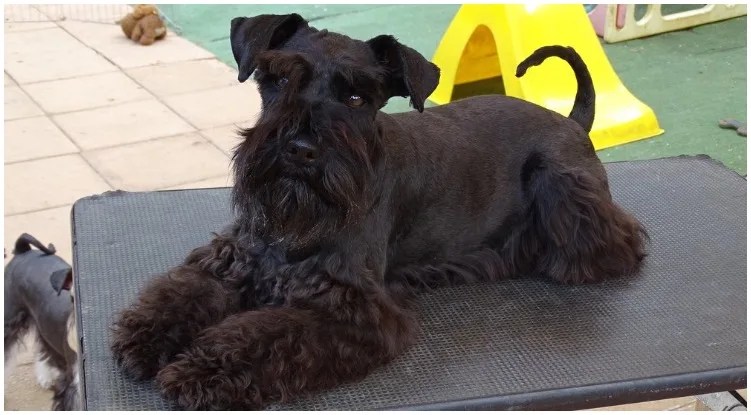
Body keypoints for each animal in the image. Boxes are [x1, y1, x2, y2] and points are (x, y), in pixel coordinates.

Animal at [110, 14, 648, 412]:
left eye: (356, 97)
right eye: (277, 78)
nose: (300, 150)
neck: (297, 226)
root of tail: (573, 122)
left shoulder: (352, 311)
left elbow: (263, 333)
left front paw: (201, 367)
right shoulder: (232, 259)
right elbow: (183, 292)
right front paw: (148, 335)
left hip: (561, 186)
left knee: (622, 244)